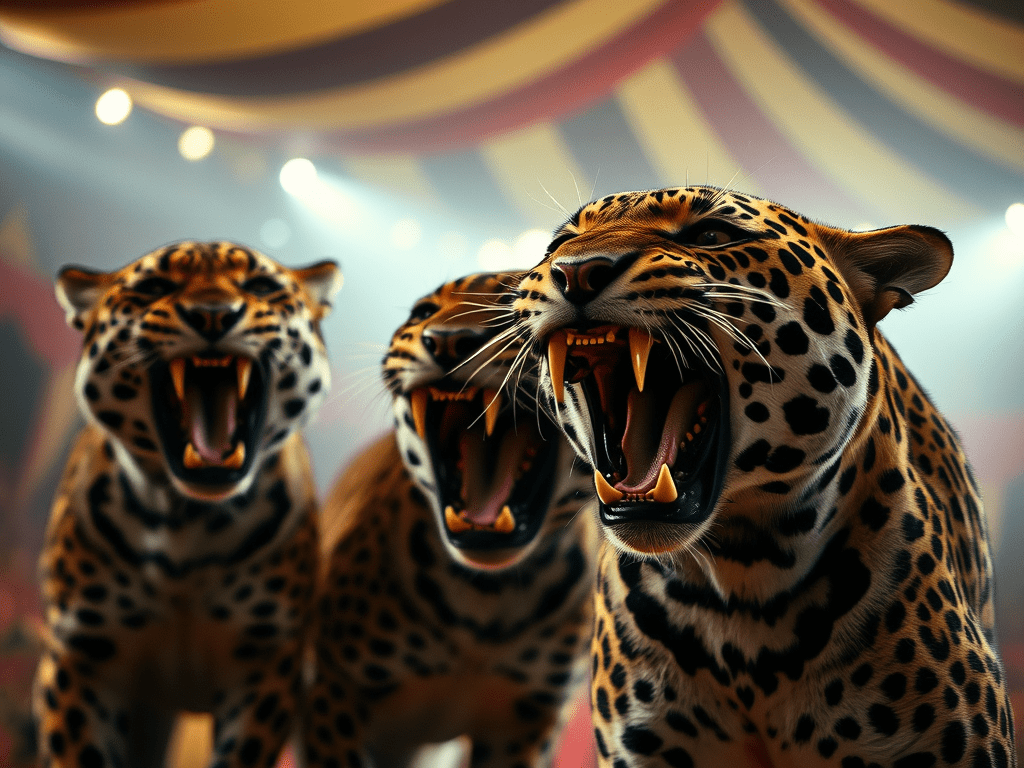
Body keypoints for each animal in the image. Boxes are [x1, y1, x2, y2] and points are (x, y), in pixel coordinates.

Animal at [35, 241, 341, 768]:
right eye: (155, 287)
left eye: (261, 286)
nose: (213, 314)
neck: (187, 524)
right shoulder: (81, 655)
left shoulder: (266, 663)